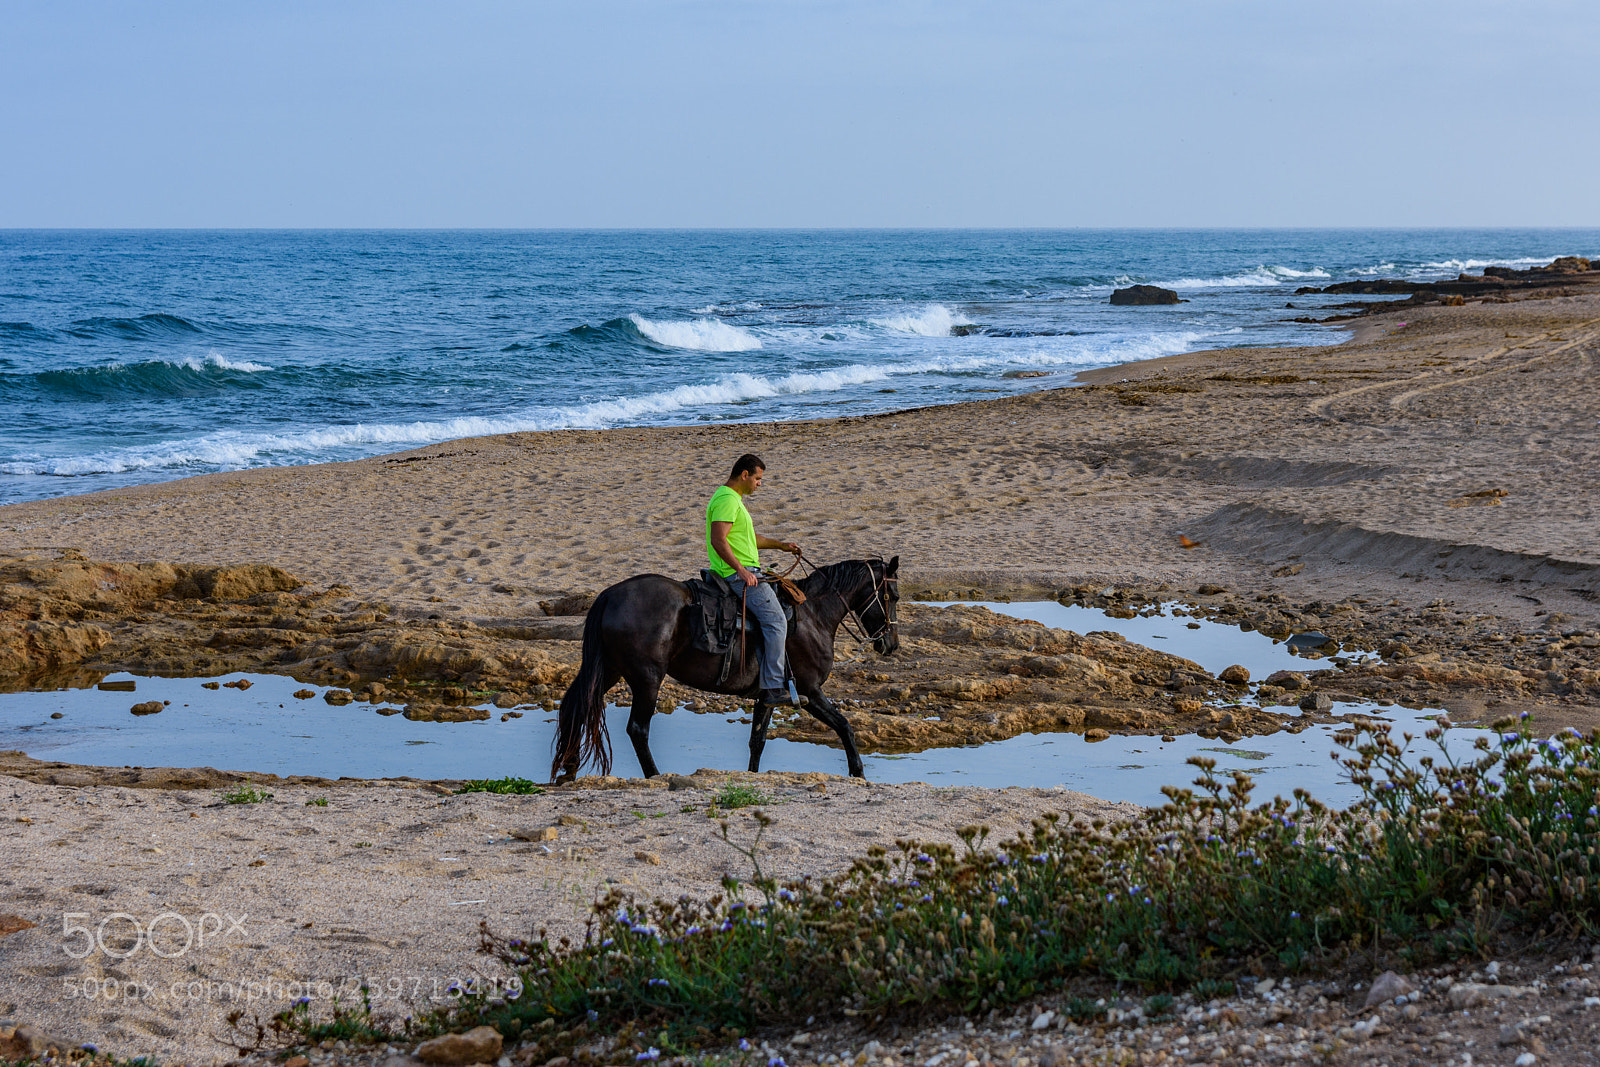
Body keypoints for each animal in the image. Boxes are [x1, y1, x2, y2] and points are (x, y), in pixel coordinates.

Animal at [551, 556, 900, 783]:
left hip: (609, 670)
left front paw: (752, 777)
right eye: (892, 595)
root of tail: (610, 595)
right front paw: (858, 772)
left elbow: (757, 741)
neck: (812, 615)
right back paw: (655, 776)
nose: (891, 644)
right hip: (646, 679)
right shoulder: (809, 692)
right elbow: (844, 726)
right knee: (638, 729)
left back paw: (569, 769)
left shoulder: (768, 696)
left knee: (575, 705)